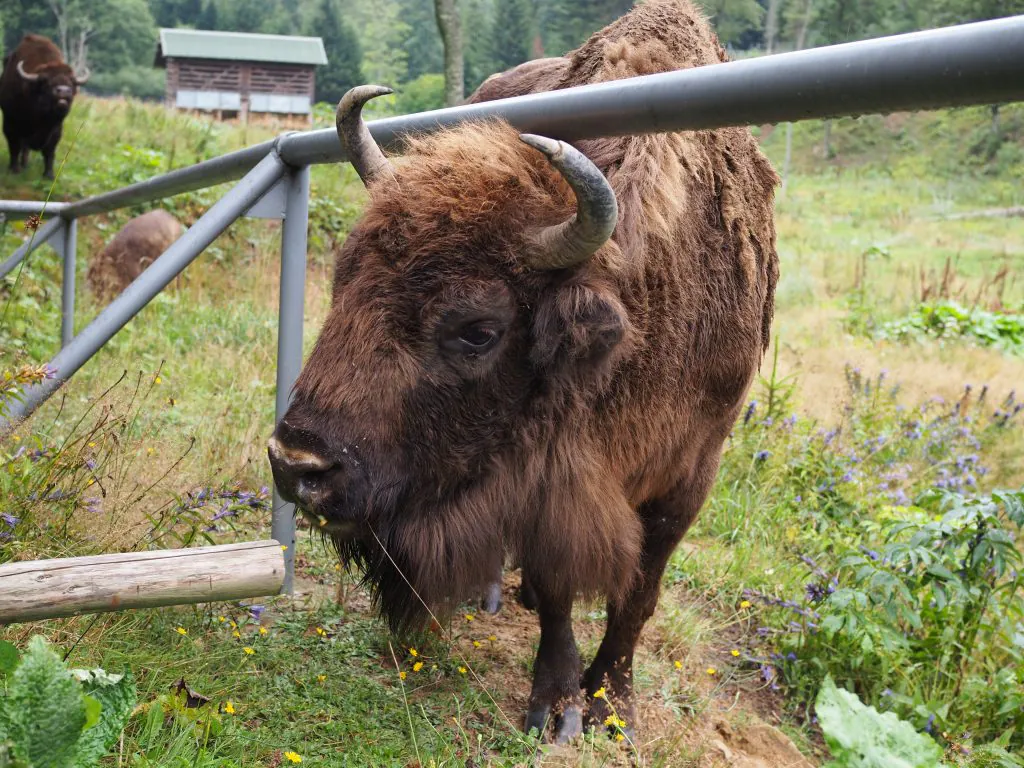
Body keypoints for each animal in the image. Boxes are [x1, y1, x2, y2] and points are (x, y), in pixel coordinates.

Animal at [1, 33, 88, 180]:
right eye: (46, 82)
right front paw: (14, 169)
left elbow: (49, 152)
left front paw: (49, 175)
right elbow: (14, 146)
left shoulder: (56, 130)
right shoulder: (10, 123)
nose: (63, 91)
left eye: (71, 82)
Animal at [268, 0, 778, 745]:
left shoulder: (690, 476)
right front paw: (557, 707)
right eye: (343, 279)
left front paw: (613, 707)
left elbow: (639, 596)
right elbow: (561, 586)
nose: (296, 464)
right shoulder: (544, 489)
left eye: (477, 330)